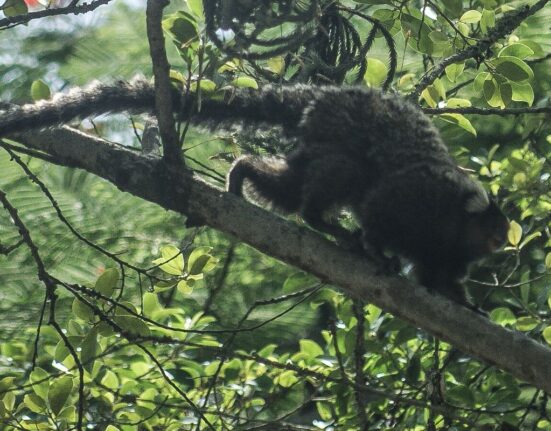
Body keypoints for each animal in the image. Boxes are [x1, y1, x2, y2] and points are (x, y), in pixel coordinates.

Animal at [0, 78, 512, 308]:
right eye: (494, 229)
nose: (502, 245)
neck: (452, 222)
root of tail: (321, 97)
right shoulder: (416, 198)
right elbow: (377, 209)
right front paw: (374, 248)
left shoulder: (447, 254)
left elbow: (438, 278)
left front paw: (466, 306)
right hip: (337, 135)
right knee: (345, 175)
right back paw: (325, 222)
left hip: (311, 144)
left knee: (292, 186)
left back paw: (244, 173)